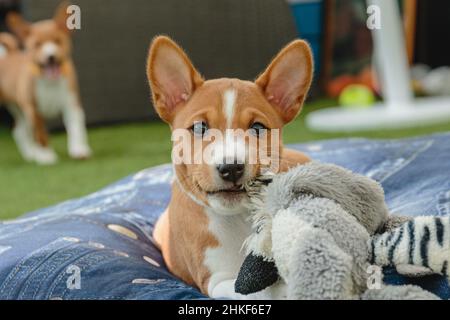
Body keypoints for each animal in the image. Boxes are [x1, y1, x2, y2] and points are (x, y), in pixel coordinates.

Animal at [0, 3, 91, 165]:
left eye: (57, 41)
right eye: (37, 44)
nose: (51, 56)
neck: (50, 81)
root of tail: (5, 55)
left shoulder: (72, 104)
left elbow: (76, 128)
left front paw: (79, 149)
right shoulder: (34, 110)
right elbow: (41, 134)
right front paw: (45, 156)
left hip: (19, 109)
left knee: (19, 131)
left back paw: (30, 154)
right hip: (24, 110)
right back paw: (34, 154)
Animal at [148, 35, 312, 298]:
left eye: (257, 128)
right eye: (199, 127)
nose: (231, 168)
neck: (238, 218)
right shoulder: (218, 281)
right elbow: (261, 291)